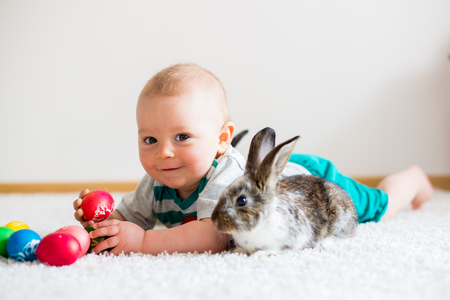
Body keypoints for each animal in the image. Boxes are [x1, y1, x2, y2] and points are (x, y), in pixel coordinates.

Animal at [209, 126, 356, 255]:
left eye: (242, 200)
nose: (214, 220)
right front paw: (237, 251)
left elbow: (276, 249)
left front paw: (259, 254)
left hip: (341, 222)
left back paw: (323, 245)